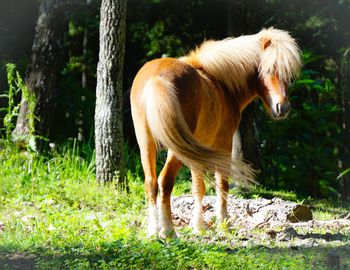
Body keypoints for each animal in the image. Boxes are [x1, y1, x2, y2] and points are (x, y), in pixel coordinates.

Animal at [130, 28, 302, 237]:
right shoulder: (224, 144)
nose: (282, 108)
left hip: (147, 144)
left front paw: (198, 226)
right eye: (269, 69)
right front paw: (223, 224)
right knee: (165, 181)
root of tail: (157, 78)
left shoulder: (196, 150)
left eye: (288, 74)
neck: (220, 84)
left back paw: (153, 231)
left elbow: (198, 187)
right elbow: (222, 183)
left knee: (151, 182)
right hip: (174, 149)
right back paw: (168, 231)